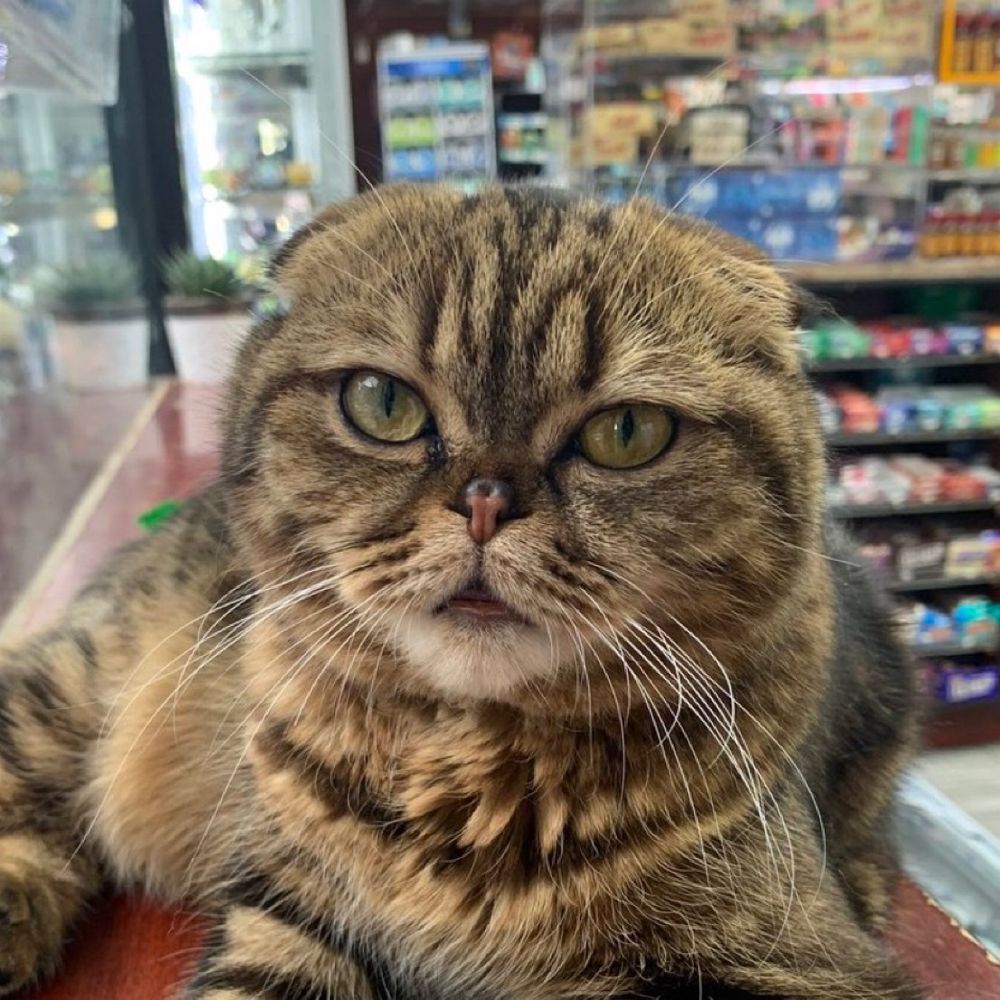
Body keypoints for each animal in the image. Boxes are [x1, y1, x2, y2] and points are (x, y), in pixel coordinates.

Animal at [0, 184, 920, 996]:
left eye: (627, 432)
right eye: (383, 403)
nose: (485, 501)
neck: (456, 780)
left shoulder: (792, 962)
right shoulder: (288, 913)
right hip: (73, 684)